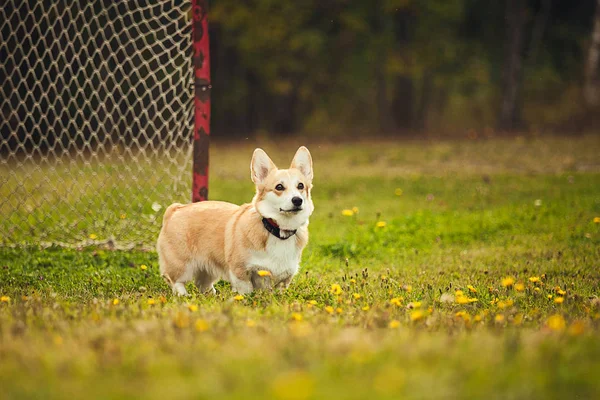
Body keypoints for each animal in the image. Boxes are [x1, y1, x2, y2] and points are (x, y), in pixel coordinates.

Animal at [155, 145, 314, 296]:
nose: (297, 200)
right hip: (182, 265)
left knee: (203, 284)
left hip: (208, 267)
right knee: (176, 281)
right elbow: (246, 290)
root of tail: (175, 209)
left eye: (300, 186)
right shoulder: (240, 271)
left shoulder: (285, 278)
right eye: (279, 187)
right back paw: (184, 295)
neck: (278, 231)